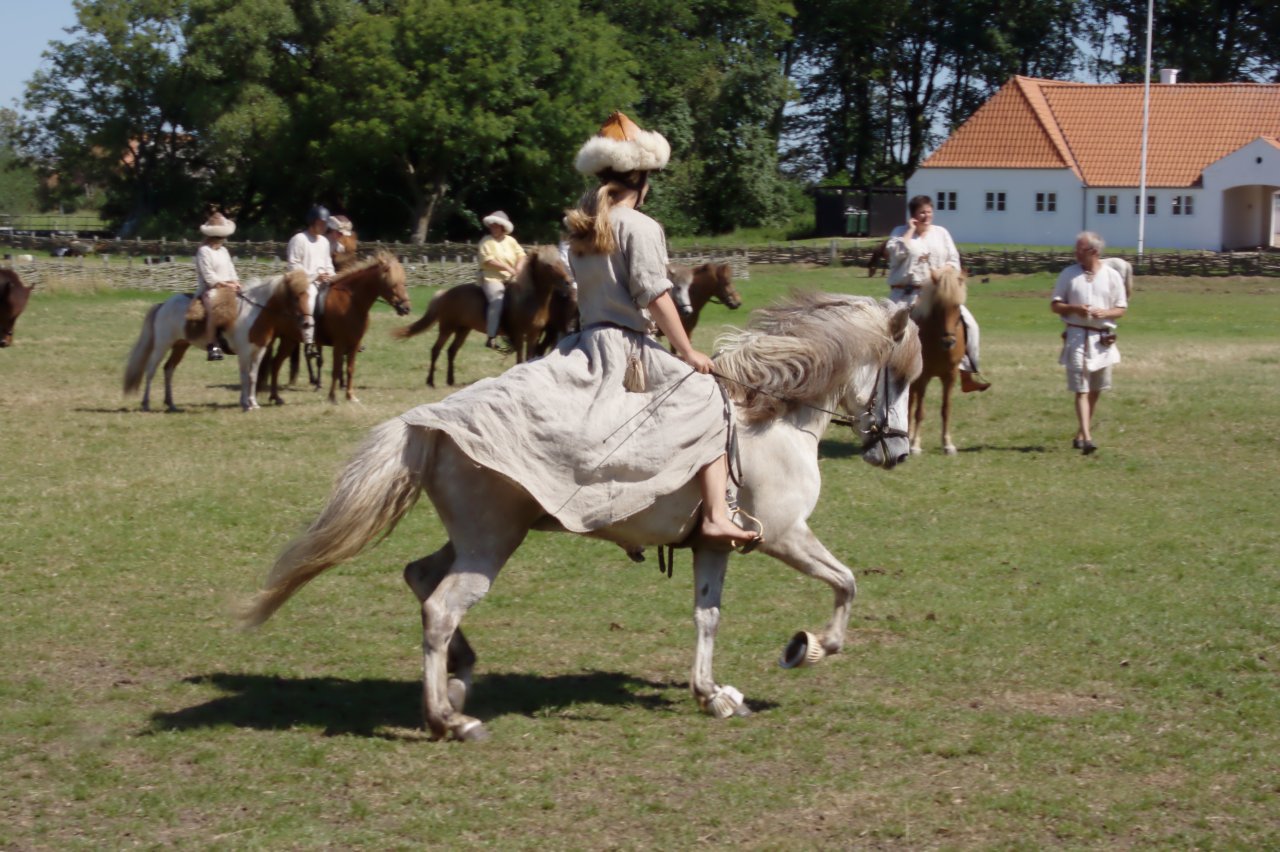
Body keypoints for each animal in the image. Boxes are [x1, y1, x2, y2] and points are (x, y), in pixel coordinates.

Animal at [120, 268, 316, 409]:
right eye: (297, 296)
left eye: (312, 296)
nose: (308, 323)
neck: (254, 312)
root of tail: (163, 305)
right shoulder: (244, 352)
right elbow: (244, 376)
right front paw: (245, 404)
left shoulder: (258, 351)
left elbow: (252, 376)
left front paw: (253, 402)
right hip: (162, 345)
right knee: (151, 370)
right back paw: (146, 403)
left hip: (180, 346)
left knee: (169, 369)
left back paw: (171, 404)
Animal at [240, 294, 921, 741]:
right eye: (901, 376)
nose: (897, 452)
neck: (768, 417)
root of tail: (425, 421)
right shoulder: (784, 536)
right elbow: (845, 583)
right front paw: (809, 647)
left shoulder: (712, 546)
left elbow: (707, 616)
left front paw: (713, 696)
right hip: (490, 546)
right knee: (439, 607)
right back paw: (450, 719)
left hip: (476, 540)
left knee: (420, 577)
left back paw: (459, 678)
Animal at [262, 250, 412, 404]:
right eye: (392, 283)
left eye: (403, 282)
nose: (405, 308)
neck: (352, 301)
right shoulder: (339, 343)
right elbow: (336, 368)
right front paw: (332, 396)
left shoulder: (354, 343)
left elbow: (350, 368)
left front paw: (350, 396)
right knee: (276, 363)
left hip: (289, 340)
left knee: (275, 364)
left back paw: (275, 397)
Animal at [389, 244, 570, 386]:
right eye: (547, 265)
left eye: (561, 262)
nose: (568, 282)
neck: (529, 299)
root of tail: (445, 294)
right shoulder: (519, 334)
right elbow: (520, 358)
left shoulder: (534, 334)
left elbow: (530, 356)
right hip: (447, 328)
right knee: (436, 350)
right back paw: (431, 381)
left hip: (462, 330)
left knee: (451, 351)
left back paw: (450, 380)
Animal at [906, 266, 962, 455]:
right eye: (938, 306)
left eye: (957, 305)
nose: (948, 342)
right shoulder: (923, 376)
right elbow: (919, 411)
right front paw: (915, 444)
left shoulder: (950, 376)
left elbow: (946, 409)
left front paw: (947, 443)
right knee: (910, 404)